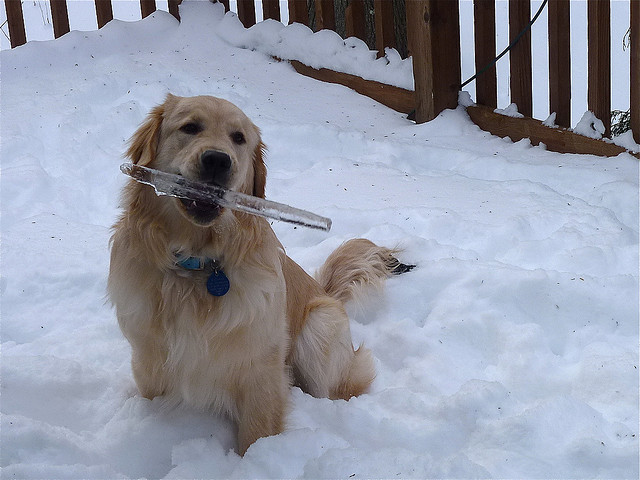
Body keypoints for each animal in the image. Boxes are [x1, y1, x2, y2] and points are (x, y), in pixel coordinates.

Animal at [108, 94, 412, 454]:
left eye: (238, 138)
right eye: (190, 127)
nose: (217, 161)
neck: (197, 264)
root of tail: (324, 290)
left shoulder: (260, 368)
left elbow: (256, 434)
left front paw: (255, 459)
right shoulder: (148, 359)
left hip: (320, 328)